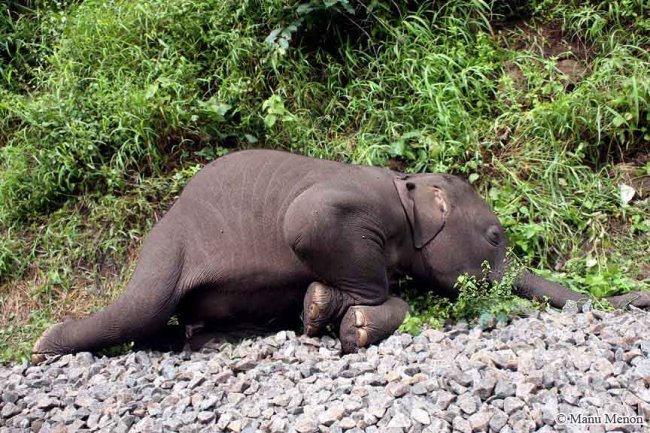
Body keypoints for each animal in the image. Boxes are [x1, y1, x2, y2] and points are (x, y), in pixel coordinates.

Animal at [31, 148, 648, 362]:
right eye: (495, 238)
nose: (633, 299)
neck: (407, 183)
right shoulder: (353, 203)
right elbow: (307, 223)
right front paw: (344, 317)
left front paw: (320, 310)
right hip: (168, 248)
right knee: (141, 310)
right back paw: (43, 348)